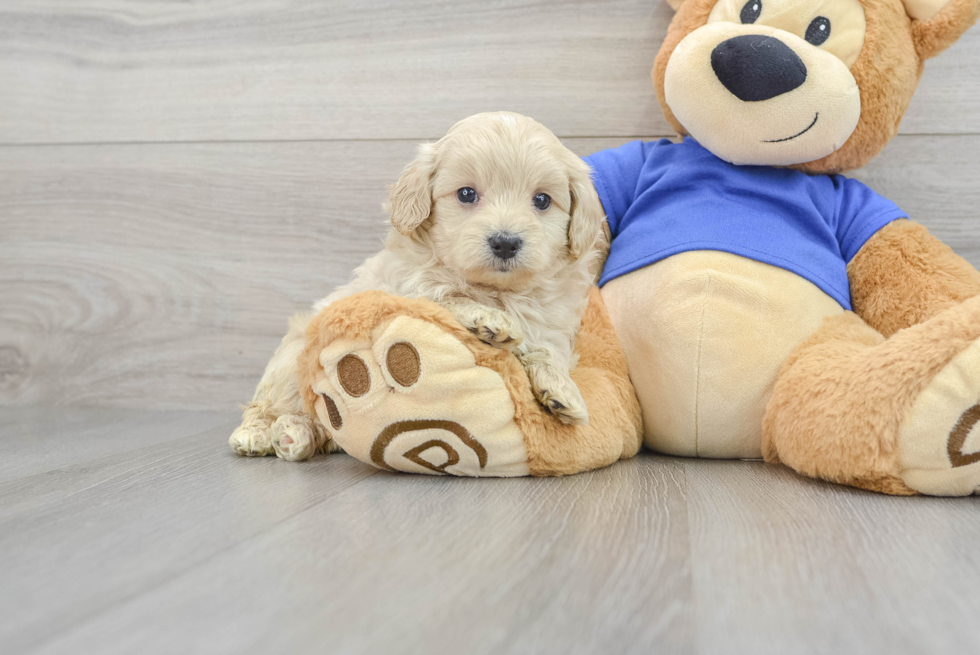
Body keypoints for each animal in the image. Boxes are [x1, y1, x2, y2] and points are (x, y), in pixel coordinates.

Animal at [230, 111, 604, 462]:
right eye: (466, 194)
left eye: (542, 200)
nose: (506, 242)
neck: (497, 290)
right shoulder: (402, 289)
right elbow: (444, 297)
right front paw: (489, 319)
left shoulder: (551, 320)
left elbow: (547, 348)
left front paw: (561, 390)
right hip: (290, 361)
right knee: (272, 405)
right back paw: (263, 434)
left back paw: (296, 435)